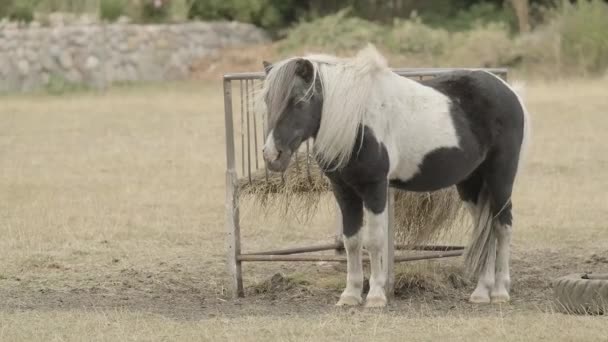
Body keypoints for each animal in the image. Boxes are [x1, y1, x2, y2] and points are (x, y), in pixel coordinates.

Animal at [256, 44, 528, 308]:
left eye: (299, 101)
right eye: (268, 101)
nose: (272, 155)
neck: (357, 121)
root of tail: (508, 91)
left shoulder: (375, 187)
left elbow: (375, 240)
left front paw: (376, 296)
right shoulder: (343, 190)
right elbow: (352, 241)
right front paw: (350, 295)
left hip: (500, 178)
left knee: (502, 226)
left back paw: (500, 291)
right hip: (471, 185)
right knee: (486, 229)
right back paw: (481, 292)